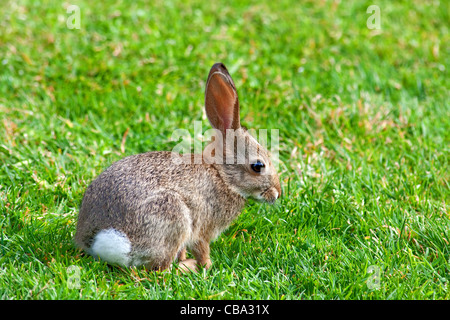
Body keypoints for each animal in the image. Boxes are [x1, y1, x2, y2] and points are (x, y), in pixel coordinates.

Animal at [76, 62, 284, 272]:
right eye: (258, 166)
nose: (277, 193)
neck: (222, 175)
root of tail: (102, 238)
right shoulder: (203, 227)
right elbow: (202, 248)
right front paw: (207, 266)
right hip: (172, 216)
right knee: (161, 269)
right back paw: (187, 267)